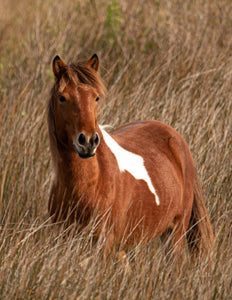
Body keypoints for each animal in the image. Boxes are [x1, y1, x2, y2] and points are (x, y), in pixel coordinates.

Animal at [47, 53, 214, 255]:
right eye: (62, 98)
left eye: (96, 98)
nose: (87, 141)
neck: (88, 185)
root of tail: (176, 138)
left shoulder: (104, 243)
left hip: (176, 233)